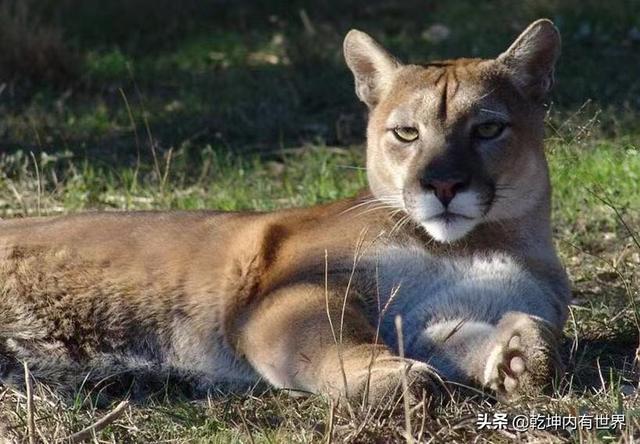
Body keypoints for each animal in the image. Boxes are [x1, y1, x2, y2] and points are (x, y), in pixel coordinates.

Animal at [0, 19, 568, 404]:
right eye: (407, 133)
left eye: (488, 128)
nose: (443, 184)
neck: (480, 240)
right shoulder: (297, 290)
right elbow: (337, 341)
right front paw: (391, 378)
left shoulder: (432, 313)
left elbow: (479, 335)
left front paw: (520, 352)